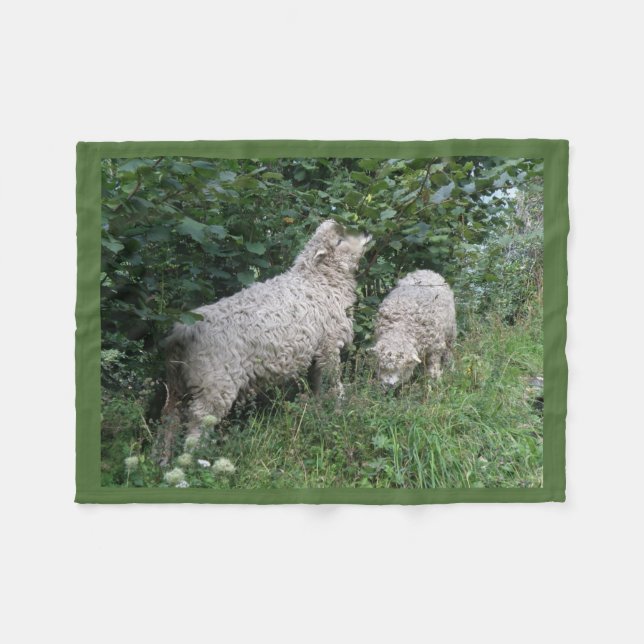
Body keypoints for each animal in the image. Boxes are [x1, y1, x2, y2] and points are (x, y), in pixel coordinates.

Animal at [161, 220, 371, 454]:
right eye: (339, 241)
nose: (364, 232)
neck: (319, 280)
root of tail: (182, 332)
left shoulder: (317, 350)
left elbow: (317, 382)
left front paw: (318, 408)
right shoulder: (329, 345)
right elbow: (332, 380)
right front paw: (339, 406)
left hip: (177, 385)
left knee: (169, 419)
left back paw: (161, 456)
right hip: (213, 383)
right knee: (199, 420)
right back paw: (195, 457)